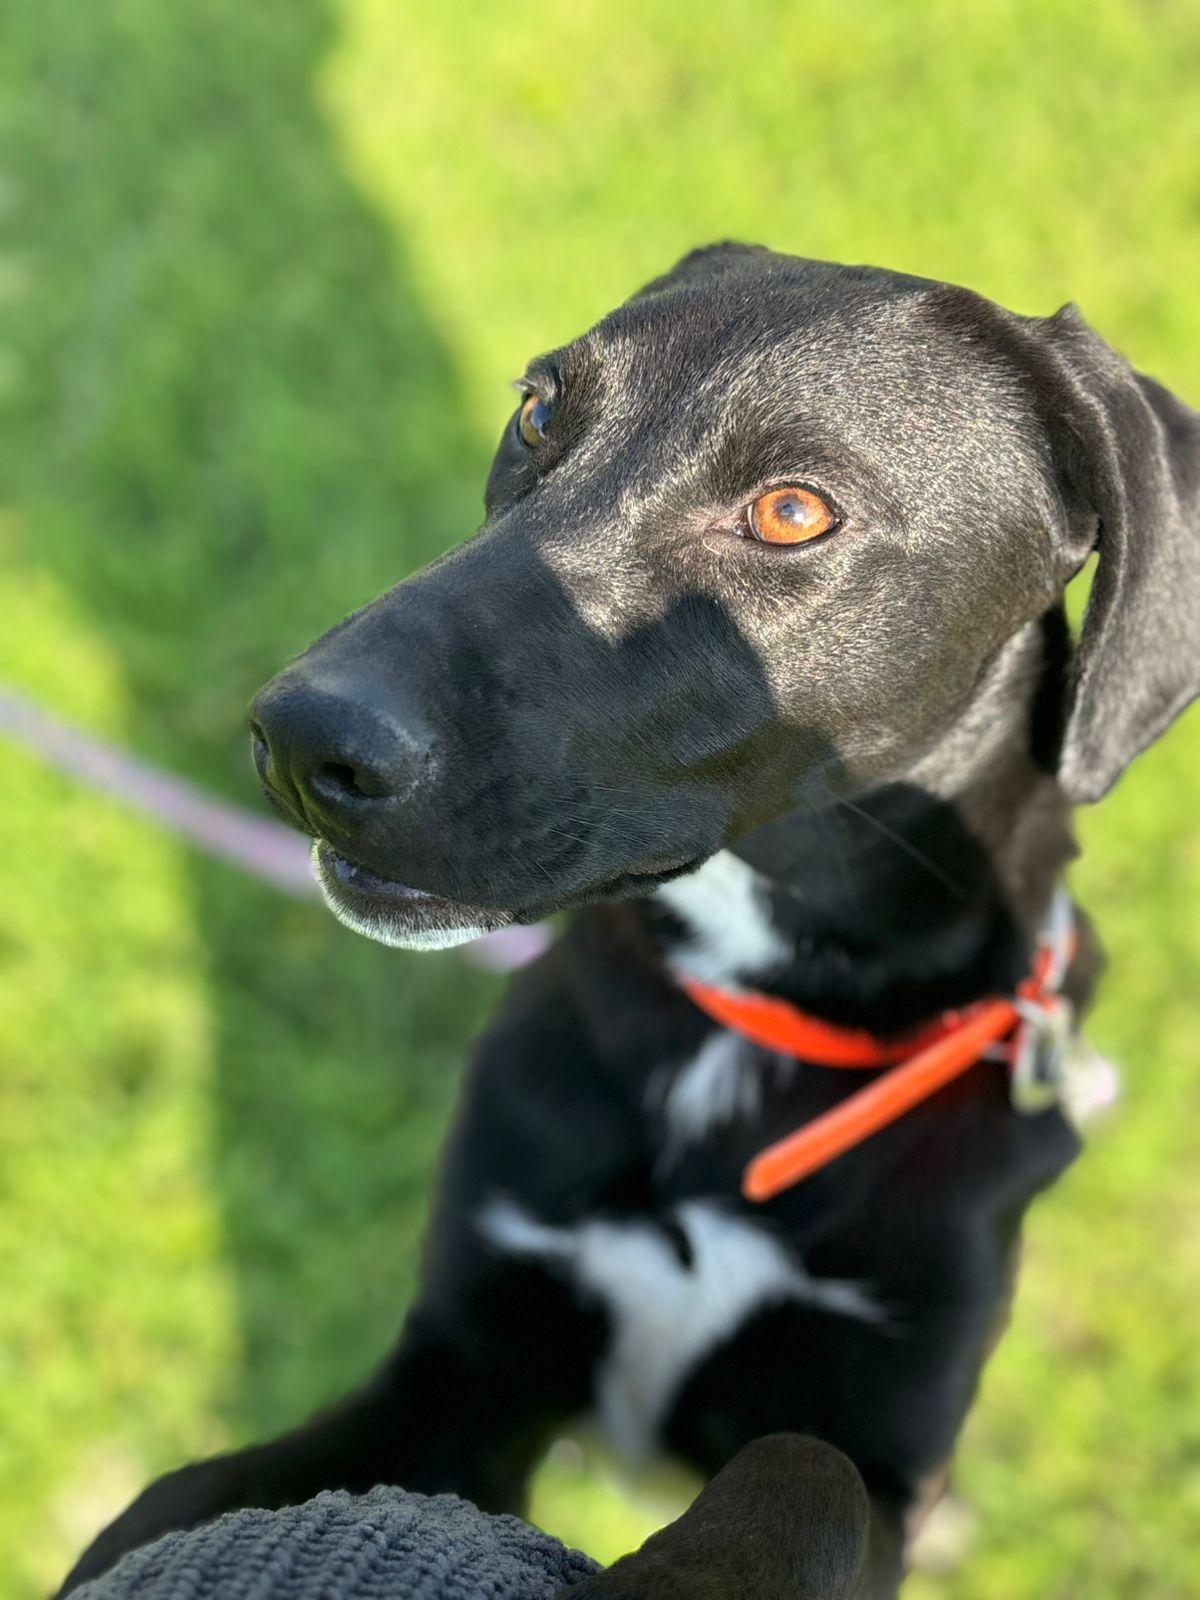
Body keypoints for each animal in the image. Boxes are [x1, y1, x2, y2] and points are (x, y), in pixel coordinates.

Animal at [61, 245, 1200, 1598]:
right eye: (538, 409)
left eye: (793, 511)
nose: (297, 740)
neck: (740, 1029)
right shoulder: (467, 1354)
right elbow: (204, 1493)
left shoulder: (875, 1436)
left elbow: (802, 1468)